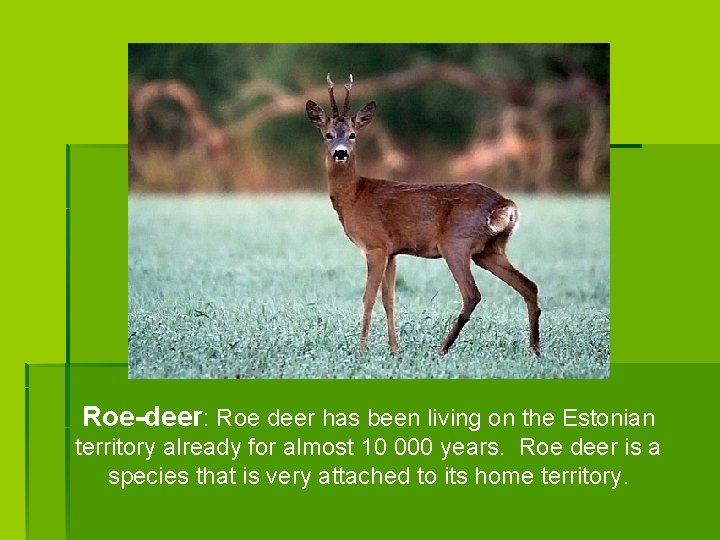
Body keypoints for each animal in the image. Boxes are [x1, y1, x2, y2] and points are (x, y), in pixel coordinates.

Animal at [306, 74, 541, 356]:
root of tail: (506, 205)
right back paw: (535, 350)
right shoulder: (392, 251)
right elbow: (389, 299)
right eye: (328, 134)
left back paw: (442, 349)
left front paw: (362, 349)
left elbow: (368, 298)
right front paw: (394, 349)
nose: (340, 153)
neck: (355, 195)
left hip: (456, 242)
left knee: (472, 294)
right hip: (490, 250)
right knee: (529, 286)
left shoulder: (375, 245)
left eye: (352, 135)